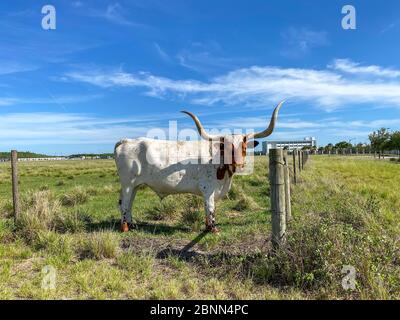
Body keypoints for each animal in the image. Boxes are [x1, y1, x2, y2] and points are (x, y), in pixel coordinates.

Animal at [113, 101, 284, 231]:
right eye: (226, 146)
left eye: (243, 147)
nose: (238, 163)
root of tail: (126, 141)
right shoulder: (208, 189)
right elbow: (210, 208)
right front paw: (213, 229)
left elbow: (207, 209)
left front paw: (208, 227)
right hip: (128, 184)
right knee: (125, 203)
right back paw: (125, 228)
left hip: (135, 184)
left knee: (128, 203)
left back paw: (132, 224)